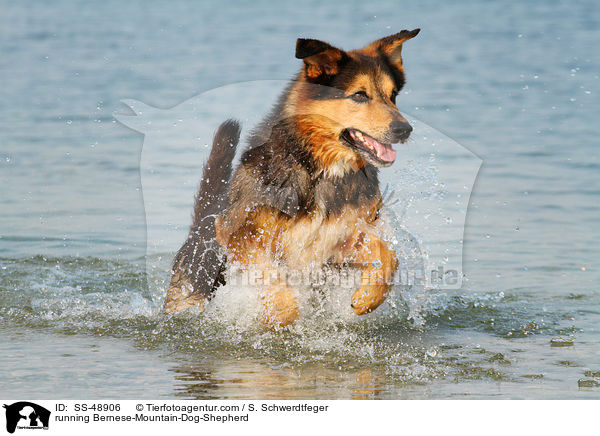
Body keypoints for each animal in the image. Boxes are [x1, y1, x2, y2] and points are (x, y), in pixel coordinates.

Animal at [162, 28, 420, 328]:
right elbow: (273, 281)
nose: (404, 129)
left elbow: (389, 257)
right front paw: (278, 317)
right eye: (359, 95)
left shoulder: (343, 244)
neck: (320, 170)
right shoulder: (240, 234)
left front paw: (368, 298)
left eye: (393, 96)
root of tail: (201, 223)